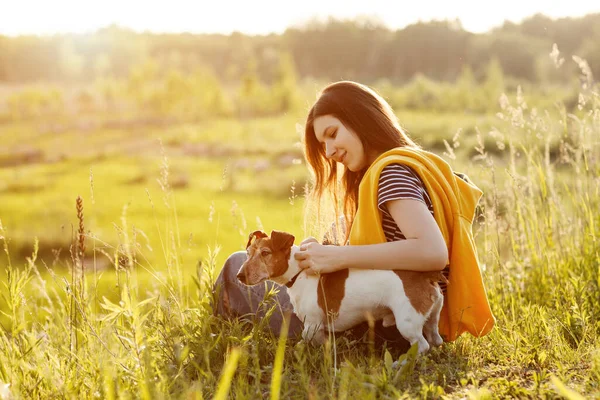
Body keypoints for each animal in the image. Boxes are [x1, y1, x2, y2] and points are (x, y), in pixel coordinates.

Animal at [234, 230, 446, 352]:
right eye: (248, 253)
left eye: (265, 253)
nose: (239, 276)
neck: (298, 272)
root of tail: (427, 276)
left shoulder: (312, 324)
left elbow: (305, 340)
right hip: (432, 317)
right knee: (435, 339)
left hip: (407, 322)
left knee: (422, 345)